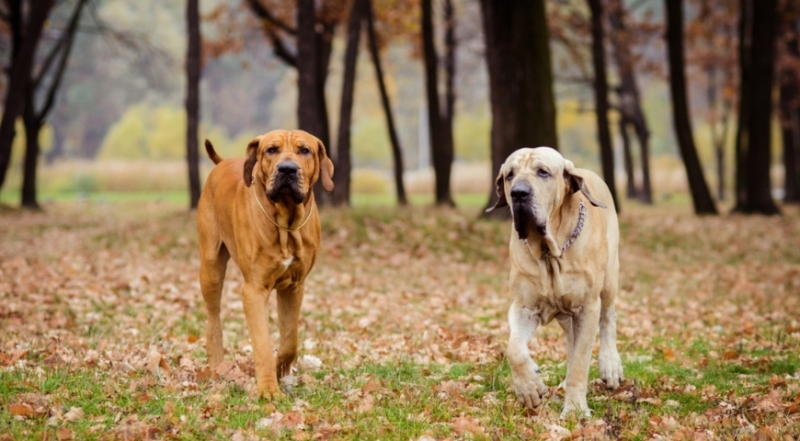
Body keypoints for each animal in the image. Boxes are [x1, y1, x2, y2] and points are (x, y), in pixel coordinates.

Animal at [198, 128, 332, 396]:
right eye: (271, 150)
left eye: (305, 150)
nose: (287, 169)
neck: (286, 223)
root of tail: (222, 163)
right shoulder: (254, 289)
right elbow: (261, 343)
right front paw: (268, 389)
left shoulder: (294, 287)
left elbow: (290, 340)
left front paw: (282, 369)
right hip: (210, 268)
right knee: (213, 317)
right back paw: (217, 366)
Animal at [488, 147, 624, 416]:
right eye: (509, 175)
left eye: (543, 172)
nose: (518, 193)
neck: (550, 251)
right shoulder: (523, 307)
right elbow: (514, 348)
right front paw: (530, 386)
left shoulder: (587, 307)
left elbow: (581, 360)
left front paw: (575, 410)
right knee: (570, 341)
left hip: (609, 279)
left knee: (608, 318)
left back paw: (610, 365)